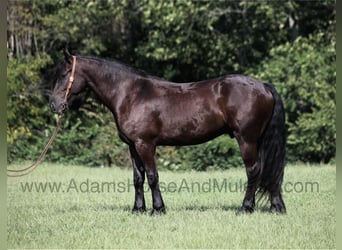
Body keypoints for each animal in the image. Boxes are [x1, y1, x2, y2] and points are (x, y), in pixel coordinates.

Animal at [50, 50, 286, 215]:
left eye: (64, 74)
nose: (54, 105)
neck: (130, 94)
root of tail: (263, 86)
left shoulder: (145, 144)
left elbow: (152, 176)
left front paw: (158, 209)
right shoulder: (133, 146)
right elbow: (138, 178)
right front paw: (138, 209)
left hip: (246, 139)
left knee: (253, 171)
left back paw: (245, 208)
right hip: (258, 140)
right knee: (269, 171)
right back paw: (275, 207)